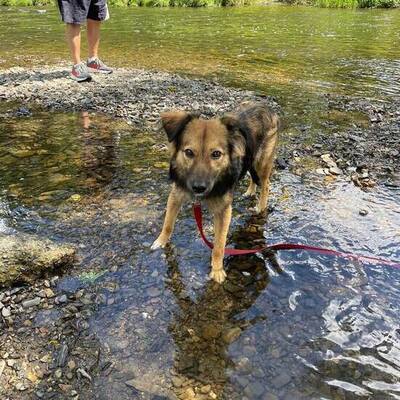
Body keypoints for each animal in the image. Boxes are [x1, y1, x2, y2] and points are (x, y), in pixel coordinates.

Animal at [152, 101, 280, 282]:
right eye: (189, 152)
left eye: (216, 154)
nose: (198, 188)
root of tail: (265, 106)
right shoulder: (176, 194)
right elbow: (168, 223)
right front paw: (161, 240)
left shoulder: (223, 211)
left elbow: (219, 244)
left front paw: (217, 270)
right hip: (251, 159)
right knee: (252, 177)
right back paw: (250, 191)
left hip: (262, 163)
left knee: (266, 184)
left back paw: (261, 206)